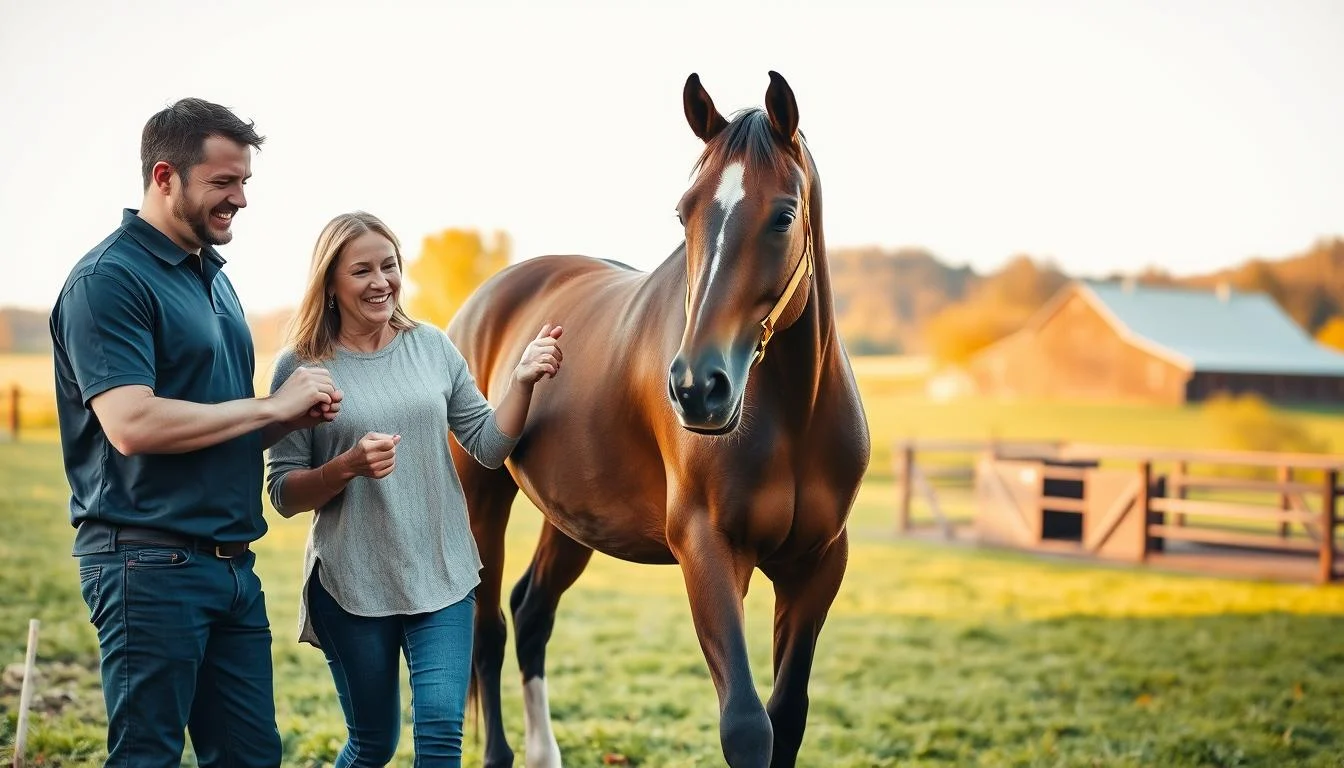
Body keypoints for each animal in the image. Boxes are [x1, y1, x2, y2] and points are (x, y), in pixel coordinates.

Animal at [446, 70, 871, 768]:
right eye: (684, 212)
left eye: (784, 215)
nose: (697, 388)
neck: (794, 418)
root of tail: (481, 302)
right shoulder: (709, 550)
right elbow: (748, 726)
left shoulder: (817, 567)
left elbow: (787, 717)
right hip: (482, 499)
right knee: (487, 629)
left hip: (572, 518)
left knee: (531, 614)